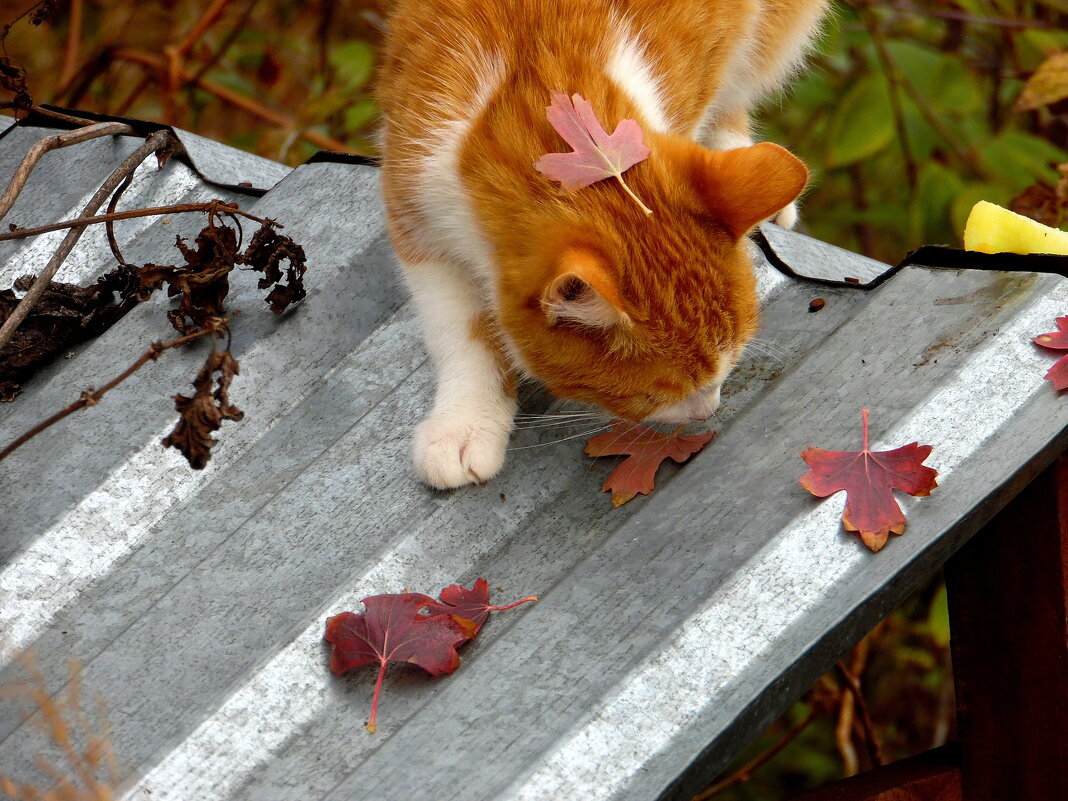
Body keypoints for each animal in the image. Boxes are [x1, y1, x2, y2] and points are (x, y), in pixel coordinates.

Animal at [380, 0, 828, 489]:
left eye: (728, 367)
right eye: (652, 394)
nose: (707, 410)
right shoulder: (415, 205)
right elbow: (461, 331)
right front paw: (465, 421)